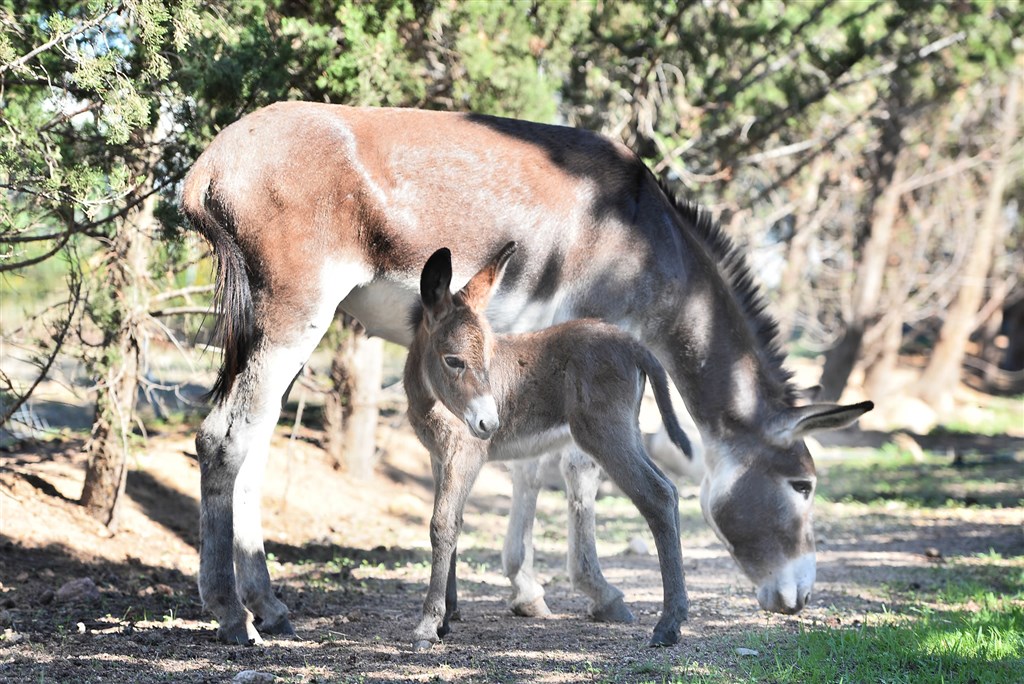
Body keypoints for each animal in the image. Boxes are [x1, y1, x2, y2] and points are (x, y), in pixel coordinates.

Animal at [403, 242, 692, 651]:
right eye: (454, 361)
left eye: (488, 359)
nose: (489, 424)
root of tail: (633, 343)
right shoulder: (438, 457)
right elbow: (452, 525)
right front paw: (445, 619)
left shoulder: (466, 453)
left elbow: (443, 524)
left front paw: (429, 626)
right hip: (626, 432)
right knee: (668, 489)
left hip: (603, 433)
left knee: (657, 496)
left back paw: (668, 625)